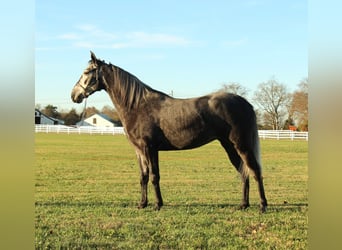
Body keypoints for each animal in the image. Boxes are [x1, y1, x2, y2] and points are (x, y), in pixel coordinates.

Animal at [71, 51, 268, 212]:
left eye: (87, 72)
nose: (74, 95)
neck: (137, 105)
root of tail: (245, 103)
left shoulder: (150, 148)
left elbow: (154, 176)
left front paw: (157, 205)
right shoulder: (139, 151)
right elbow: (143, 176)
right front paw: (142, 204)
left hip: (241, 145)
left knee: (255, 170)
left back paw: (262, 206)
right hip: (229, 146)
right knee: (243, 171)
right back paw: (243, 205)